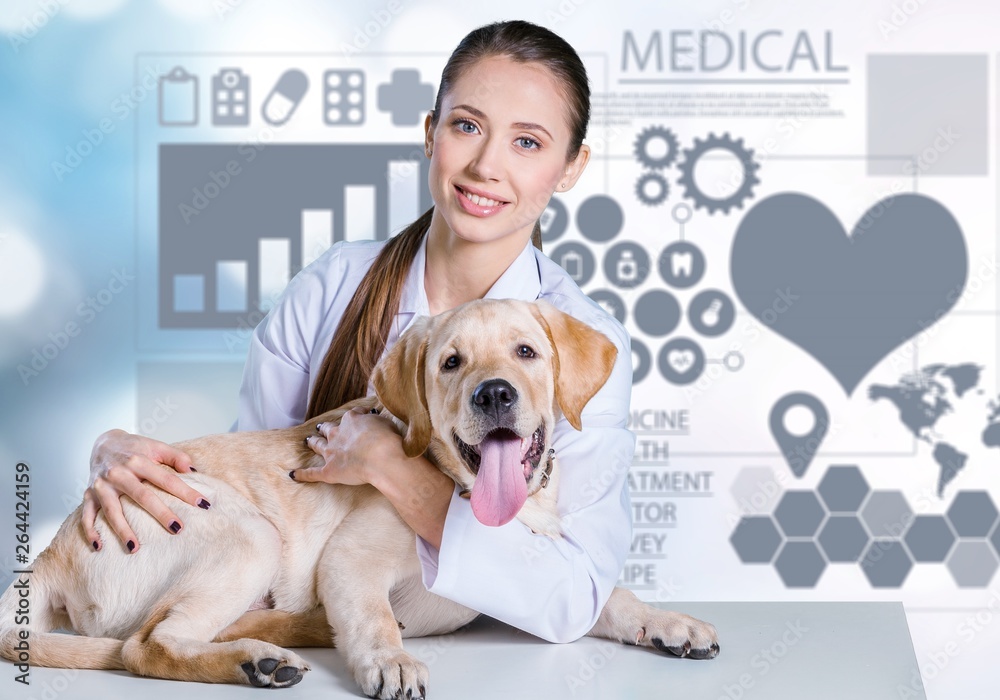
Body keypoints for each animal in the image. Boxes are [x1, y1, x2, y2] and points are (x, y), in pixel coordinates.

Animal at [0, 298, 720, 696]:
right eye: (451, 363)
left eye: (526, 352)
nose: (494, 394)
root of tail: (50, 555)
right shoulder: (352, 561)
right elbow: (374, 616)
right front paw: (392, 662)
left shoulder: (548, 577)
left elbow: (608, 595)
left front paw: (671, 623)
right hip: (246, 532)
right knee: (144, 646)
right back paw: (257, 661)